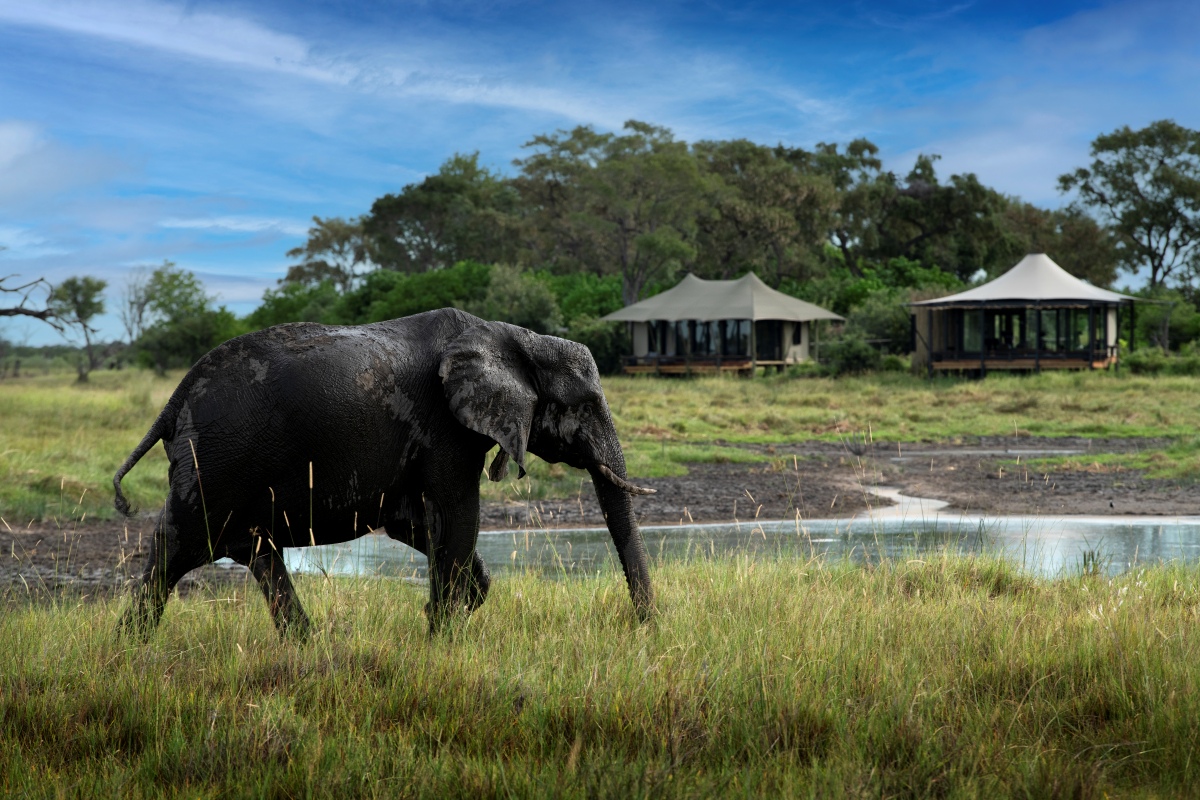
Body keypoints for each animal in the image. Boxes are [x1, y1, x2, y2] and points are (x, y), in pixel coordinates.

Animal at [113, 308, 655, 637]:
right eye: (584, 405)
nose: (646, 629)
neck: (514, 336)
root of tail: (172, 402)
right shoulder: (444, 427)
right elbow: (457, 514)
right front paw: (442, 640)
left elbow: (415, 523)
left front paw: (442, 616)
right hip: (216, 461)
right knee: (176, 546)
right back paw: (128, 654)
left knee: (255, 553)